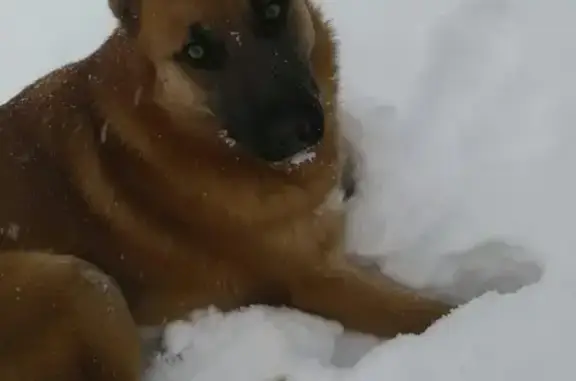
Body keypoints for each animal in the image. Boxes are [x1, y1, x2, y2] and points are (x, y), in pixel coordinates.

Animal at [0, 0, 452, 378]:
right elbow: (430, 312)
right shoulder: (314, 282)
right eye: (196, 52)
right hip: (81, 283)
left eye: (271, 10)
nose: (296, 131)